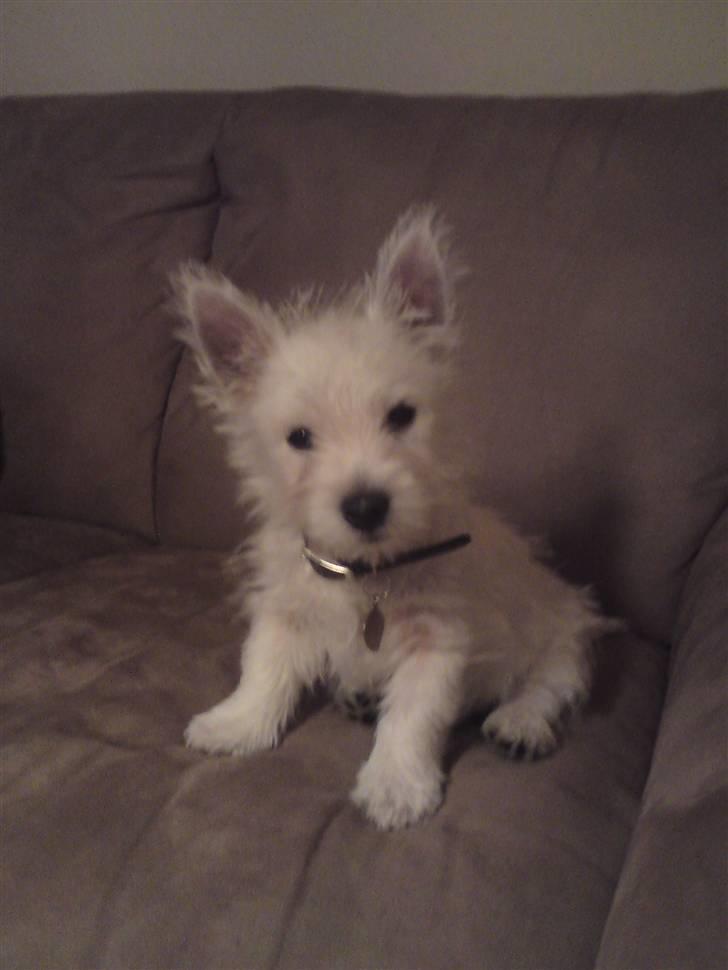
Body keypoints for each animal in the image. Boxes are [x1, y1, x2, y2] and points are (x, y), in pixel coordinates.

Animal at [173, 208, 612, 828]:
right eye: (299, 438)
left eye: (401, 416)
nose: (364, 506)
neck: (368, 571)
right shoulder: (286, 608)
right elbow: (263, 668)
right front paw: (235, 723)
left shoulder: (438, 640)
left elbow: (413, 717)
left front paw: (395, 785)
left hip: (564, 625)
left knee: (551, 682)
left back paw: (520, 723)